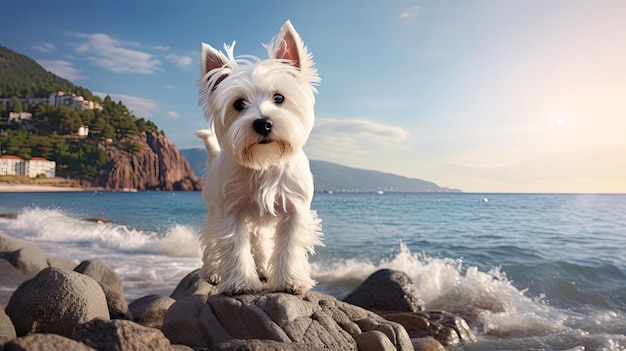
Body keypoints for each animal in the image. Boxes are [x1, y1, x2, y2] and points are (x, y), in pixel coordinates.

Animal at [195, 20, 322, 296]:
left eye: (279, 98)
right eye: (238, 104)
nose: (263, 123)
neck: (265, 163)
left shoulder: (294, 209)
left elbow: (288, 246)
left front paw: (289, 281)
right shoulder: (230, 212)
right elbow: (235, 246)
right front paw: (241, 283)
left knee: (260, 240)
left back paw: (263, 269)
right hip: (213, 210)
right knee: (210, 241)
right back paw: (212, 272)